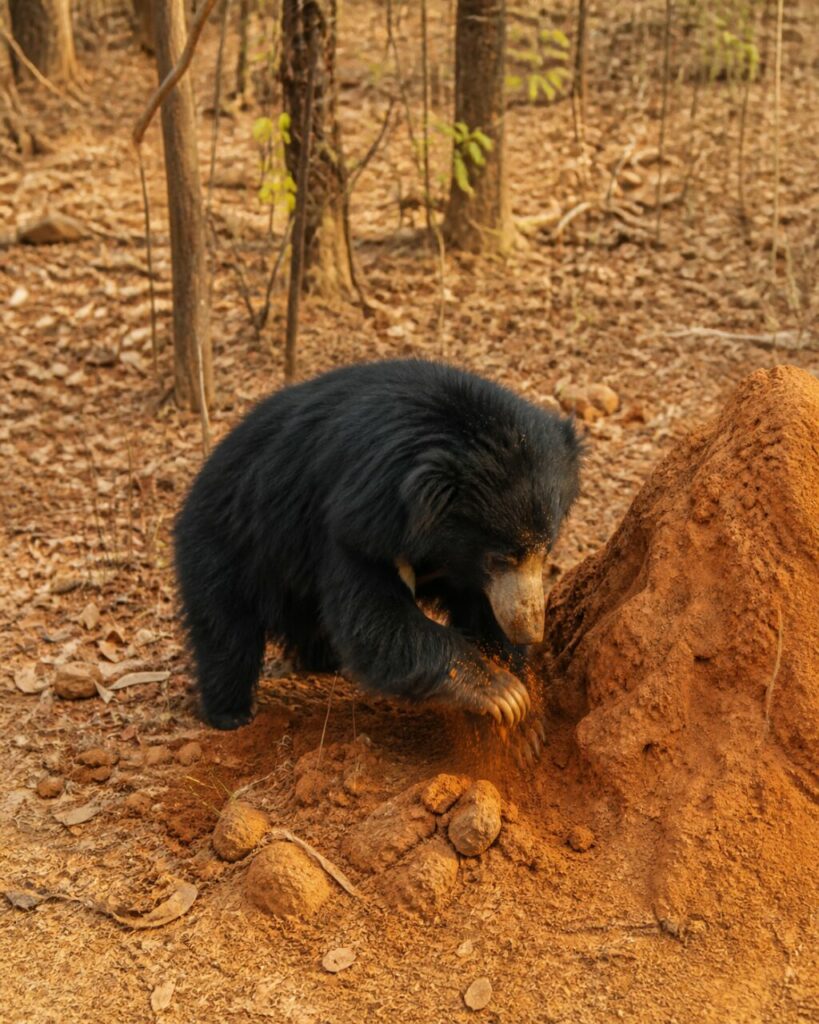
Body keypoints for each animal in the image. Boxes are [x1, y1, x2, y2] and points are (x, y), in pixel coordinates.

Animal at [174, 359, 581, 732]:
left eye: (544, 551)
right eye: (499, 558)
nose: (531, 631)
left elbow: (480, 609)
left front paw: (519, 692)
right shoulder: (356, 522)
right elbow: (376, 619)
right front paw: (503, 693)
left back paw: (325, 661)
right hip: (228, 547)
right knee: (226, 632)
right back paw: (232, 712)